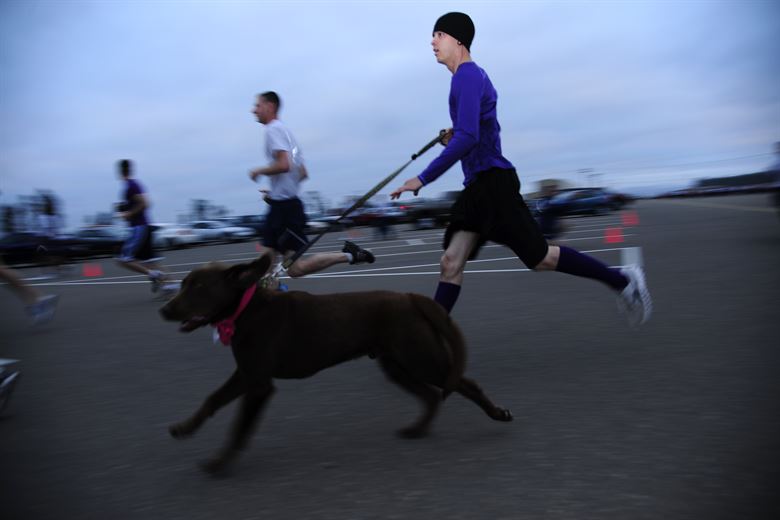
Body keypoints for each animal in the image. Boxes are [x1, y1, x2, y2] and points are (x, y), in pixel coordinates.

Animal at [158, 253, 512, 476]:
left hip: (422, 358)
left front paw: (219, 463)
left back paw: (497, 413)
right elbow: (211, 400)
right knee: (430, 395)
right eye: (184, 284)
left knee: (464, 383)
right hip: (397, 365)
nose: (164, 310)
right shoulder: (245, 374)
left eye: (199, 287)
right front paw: (184, 428)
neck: (247, 309)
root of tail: (411, 297)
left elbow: (238, 428)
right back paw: (417, 429)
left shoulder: (258, 384)